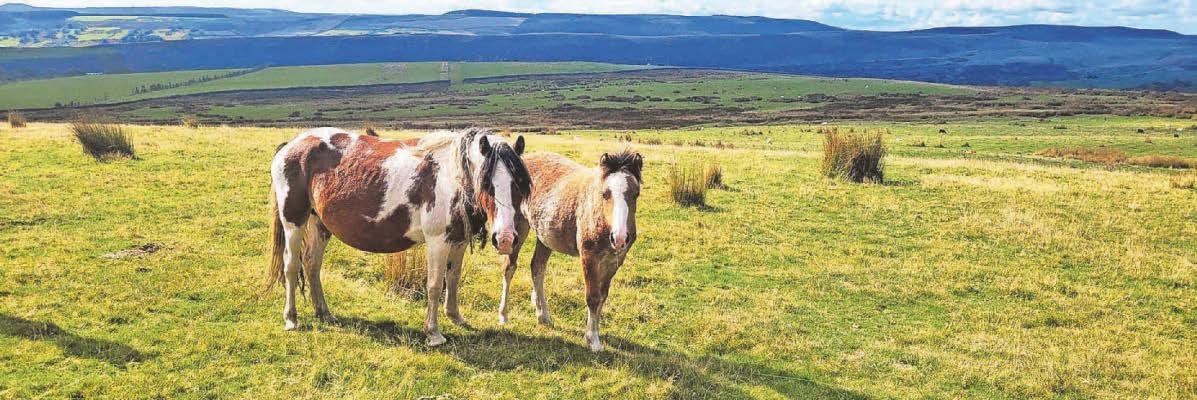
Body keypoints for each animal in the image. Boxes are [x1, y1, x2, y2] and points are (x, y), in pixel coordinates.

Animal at [266, 127, 531, 347]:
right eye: (487, 184)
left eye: (519, 185)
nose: (505, 239)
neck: (450, 177)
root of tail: (291, 145)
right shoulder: (437, 241)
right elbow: (435, 285)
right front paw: (433, 333)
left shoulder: (459, 240)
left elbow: (453, 278)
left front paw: (456, 317)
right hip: (294, 221)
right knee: (291, 266)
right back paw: (291, 318)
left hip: (319, 223)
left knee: (312, 264)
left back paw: (324, 313)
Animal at [497, 150, 643, 351]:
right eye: (605, 194)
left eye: (636, 194)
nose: (620, 238)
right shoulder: (589, 257)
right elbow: (593, 297)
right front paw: (593, 340)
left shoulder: (614, 261)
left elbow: (602, 297)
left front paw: (594, 334)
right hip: (517, 227)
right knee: (509, 268)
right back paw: (504, 315)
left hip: (545, 236)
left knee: (537, 268)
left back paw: (543, 316)